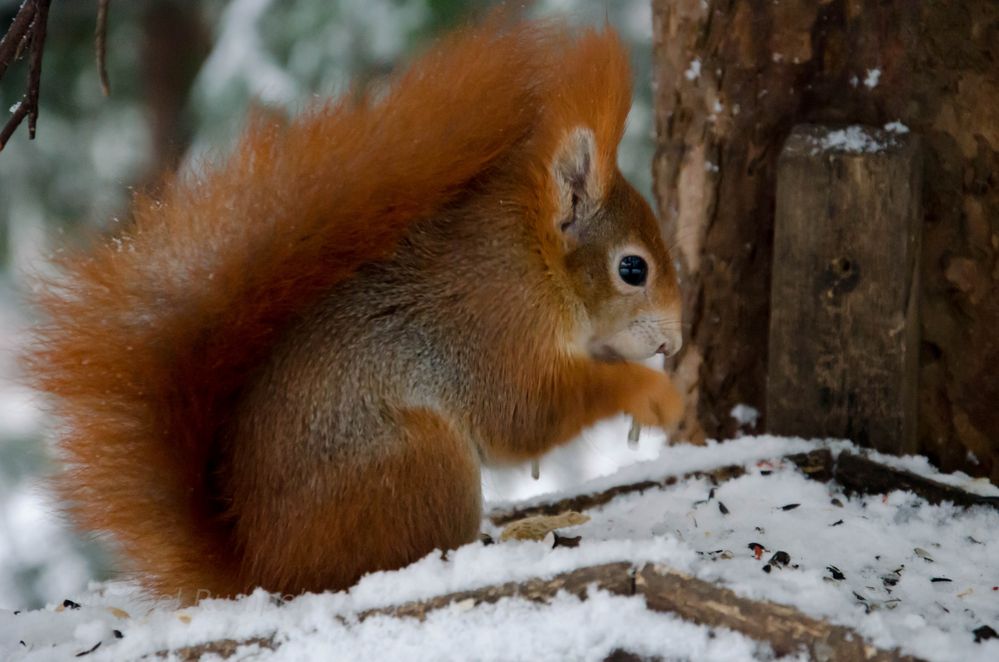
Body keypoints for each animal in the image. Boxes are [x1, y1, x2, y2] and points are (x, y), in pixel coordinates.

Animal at [27, 19, 684, 600]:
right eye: (633, 269)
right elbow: (525, 415)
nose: (676, 343)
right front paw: (647, 394)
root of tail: (267, 570)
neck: (538, 262)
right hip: (419, 460)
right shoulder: (493, 326)